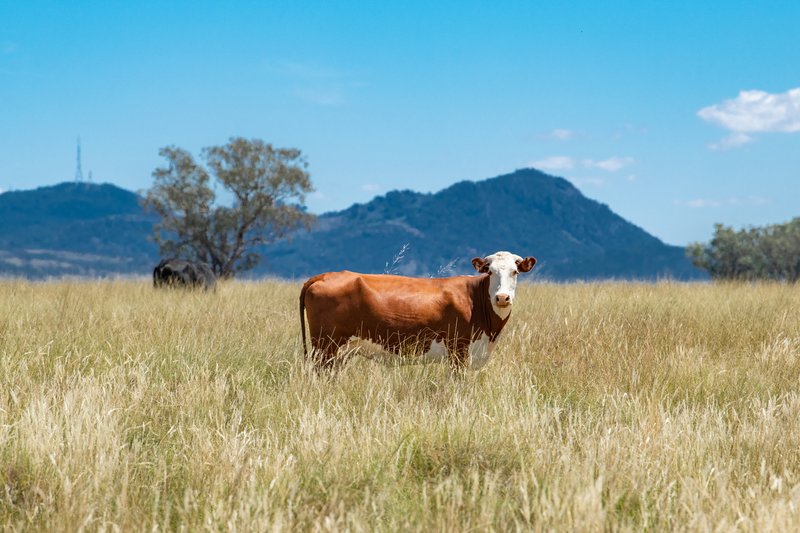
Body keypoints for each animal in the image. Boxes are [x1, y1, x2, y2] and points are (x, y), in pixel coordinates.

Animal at [296, 250, 536, 370]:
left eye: (515, 272)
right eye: (490, 271)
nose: (502, 297)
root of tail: (325, 275)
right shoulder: (458, 351)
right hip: (325, 347)